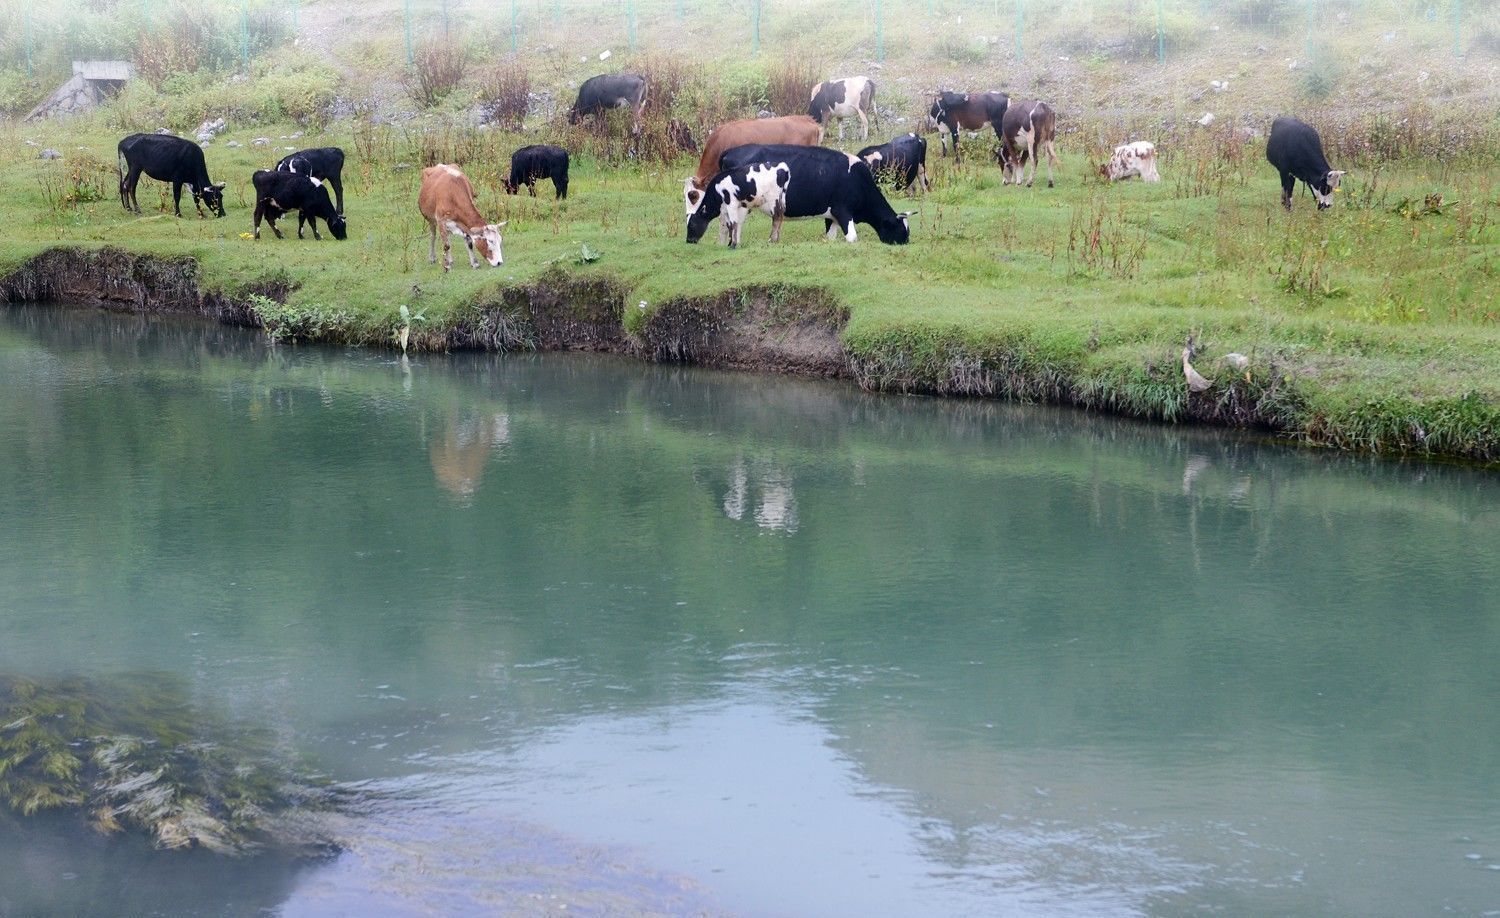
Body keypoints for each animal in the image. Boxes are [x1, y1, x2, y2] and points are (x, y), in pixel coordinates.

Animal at [711, 143, 912, 244]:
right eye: (901, 230)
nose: (906, 243)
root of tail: (730, 150)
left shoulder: (832, 214)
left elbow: (830, 237)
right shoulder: (843, 210)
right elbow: (852, 238)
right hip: (740, 203)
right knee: (733, 223)